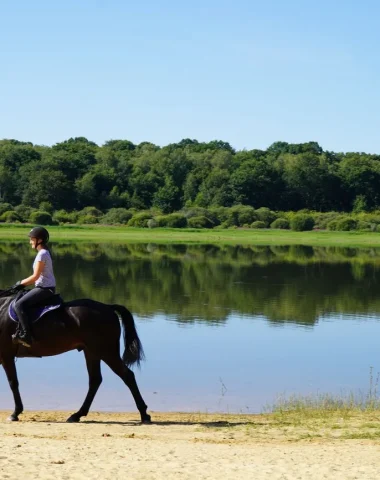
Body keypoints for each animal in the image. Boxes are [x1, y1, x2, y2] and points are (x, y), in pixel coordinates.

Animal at [0, 286, 151, 422]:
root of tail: (108, 307)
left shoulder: (6, 355)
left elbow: (13, 382)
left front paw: (15, 413)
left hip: (106, 351)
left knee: (127, 375)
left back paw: (144, 414)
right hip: (92, 352)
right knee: (95, 380)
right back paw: (77, 414)